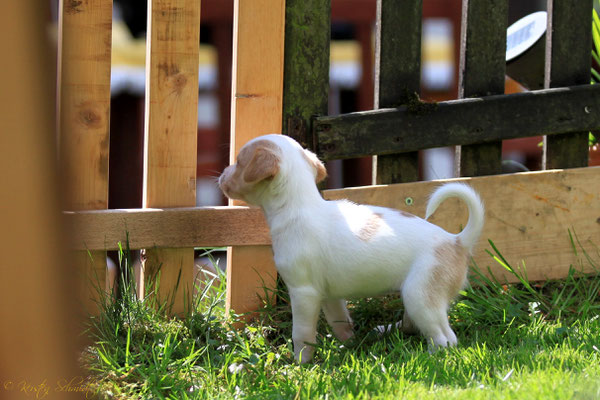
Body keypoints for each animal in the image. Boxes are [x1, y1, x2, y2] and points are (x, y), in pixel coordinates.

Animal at [218, 134, 486, 362]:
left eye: (238, 162)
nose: (221, 175)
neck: (298, 205)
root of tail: (457, 241)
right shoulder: (330, 296)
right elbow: (341, 323)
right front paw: (349, 345)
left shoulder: (303, 293)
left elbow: (302, 335)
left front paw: (299, 364)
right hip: (414, 297)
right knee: (413, 325)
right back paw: (386, 331)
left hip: (420, 297)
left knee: (445, 338)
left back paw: (429, 356)